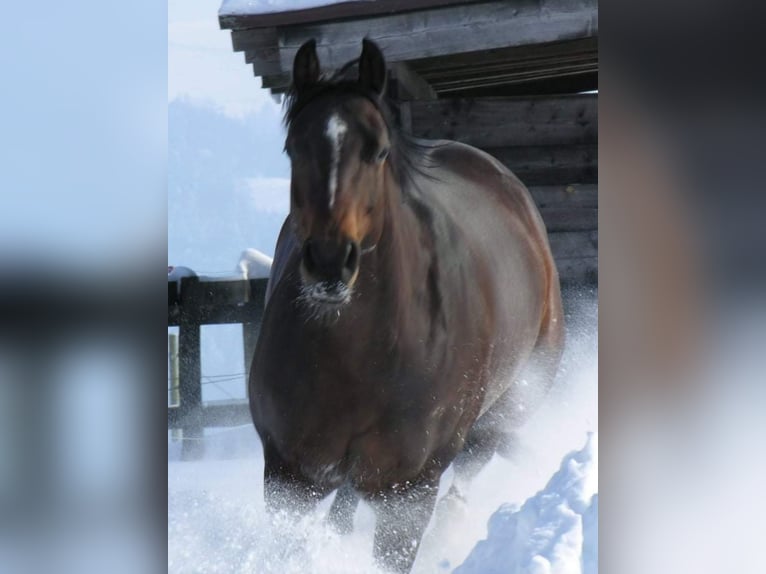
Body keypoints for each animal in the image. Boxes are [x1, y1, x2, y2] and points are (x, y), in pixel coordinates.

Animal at [249, 38, 568, 572]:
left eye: (377, 150)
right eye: (294, 147)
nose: (330, 262)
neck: (356, 360)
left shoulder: (407, 492)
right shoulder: (288, 475)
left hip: (502, 415)